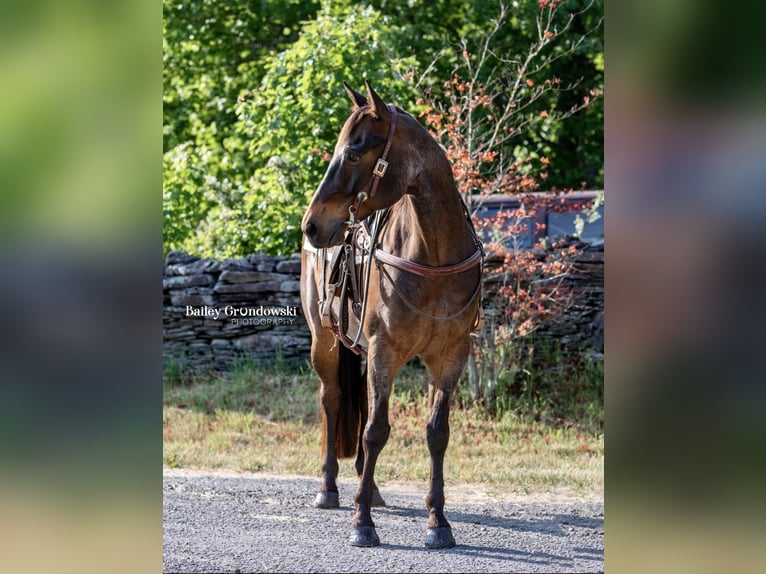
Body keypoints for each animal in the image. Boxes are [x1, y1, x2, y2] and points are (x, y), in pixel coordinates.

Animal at [302, 80, 486, 548]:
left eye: (353, 153)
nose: (311, 225)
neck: (434, 257)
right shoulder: (385, 348)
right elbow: (375, 431)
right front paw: (362, 522)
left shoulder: (451, 355)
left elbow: (436, 433)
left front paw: (438, 522)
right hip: (324, 342)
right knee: (331, 399)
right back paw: (329, 489)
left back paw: (372, 489)